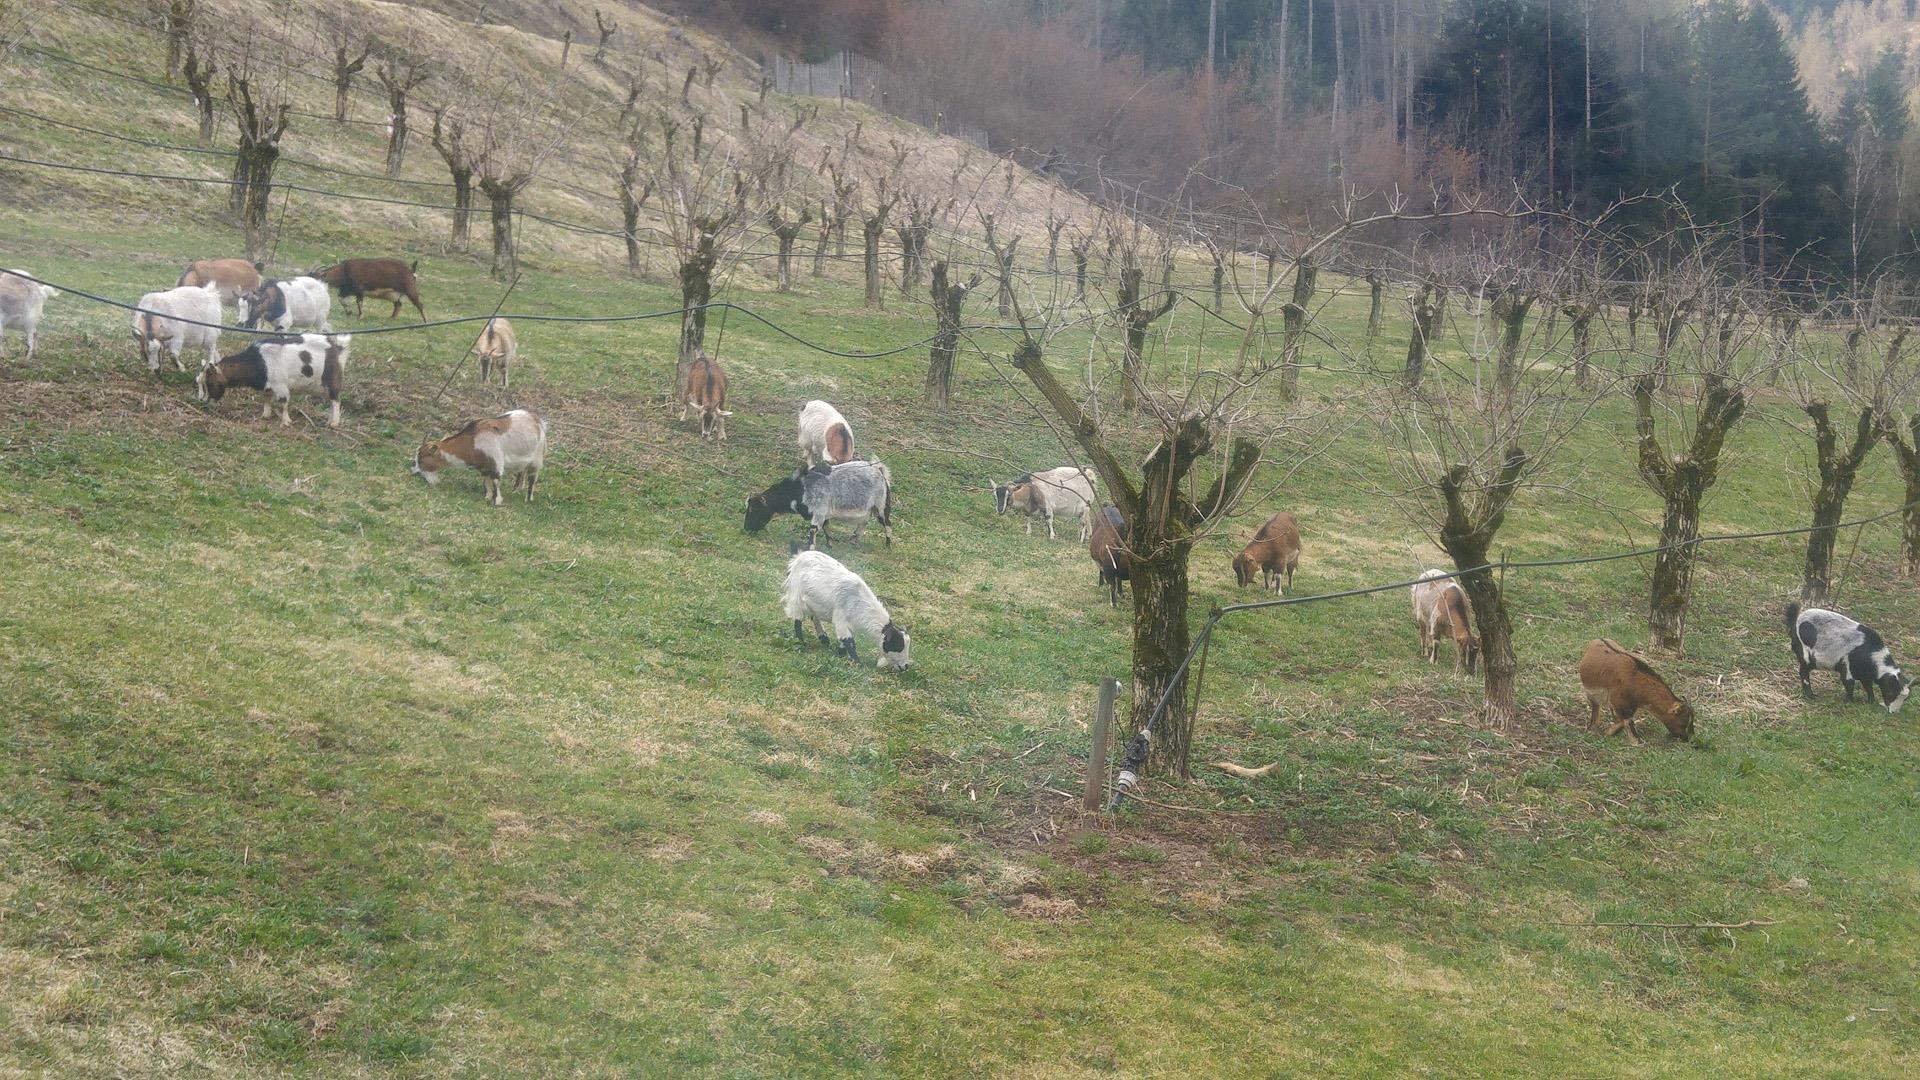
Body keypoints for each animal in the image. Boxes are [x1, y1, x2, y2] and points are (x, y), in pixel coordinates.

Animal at [201, 332, 353, 424]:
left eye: (210, 383)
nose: (204, 402)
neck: (259, 361)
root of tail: (337, 348)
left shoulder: (280, 386)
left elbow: (283, 403)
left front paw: (286, 422)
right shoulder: (267, 387)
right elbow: (267, 400)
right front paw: (265, 415)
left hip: (332, 381)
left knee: (336, 401)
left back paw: (334, 423)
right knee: (332, 402)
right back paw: (329, 420)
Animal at [410, 407, 549, 503]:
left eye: (421, 458)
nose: (413, 472)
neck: (472, 440)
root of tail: (536, 419)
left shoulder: (495, 462)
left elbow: (495, 480)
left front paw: (496, 501)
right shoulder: (483, 466)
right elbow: (486, 481)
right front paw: (487, 497)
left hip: (537, 457)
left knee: (532, 477)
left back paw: (528, 499)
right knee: (522, 471)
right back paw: (516, 490)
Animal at [748, 461, 898, 549]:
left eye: (754, 509)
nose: (746, 529)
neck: (802, 488)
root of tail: (880, 471)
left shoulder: (818, 511)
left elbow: (813, 529)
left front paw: (810, 548)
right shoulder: (823, 513)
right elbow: (826, 527)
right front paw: (830, 544)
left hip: (881, 506)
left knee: (887, 523)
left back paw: (888, 546)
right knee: (863, 523)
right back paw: (854, 540)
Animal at [775, 549, 910, 668]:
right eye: (897, 645)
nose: (905, 666)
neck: (858, 601)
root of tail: (799, 556)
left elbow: (845, 641)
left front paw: (841, 654)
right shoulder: (840, 618)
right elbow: (848, 640)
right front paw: (856, 662)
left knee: (815, 617)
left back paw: (824, 638)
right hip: (796, 595)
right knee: (798, 618)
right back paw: (801, 641)